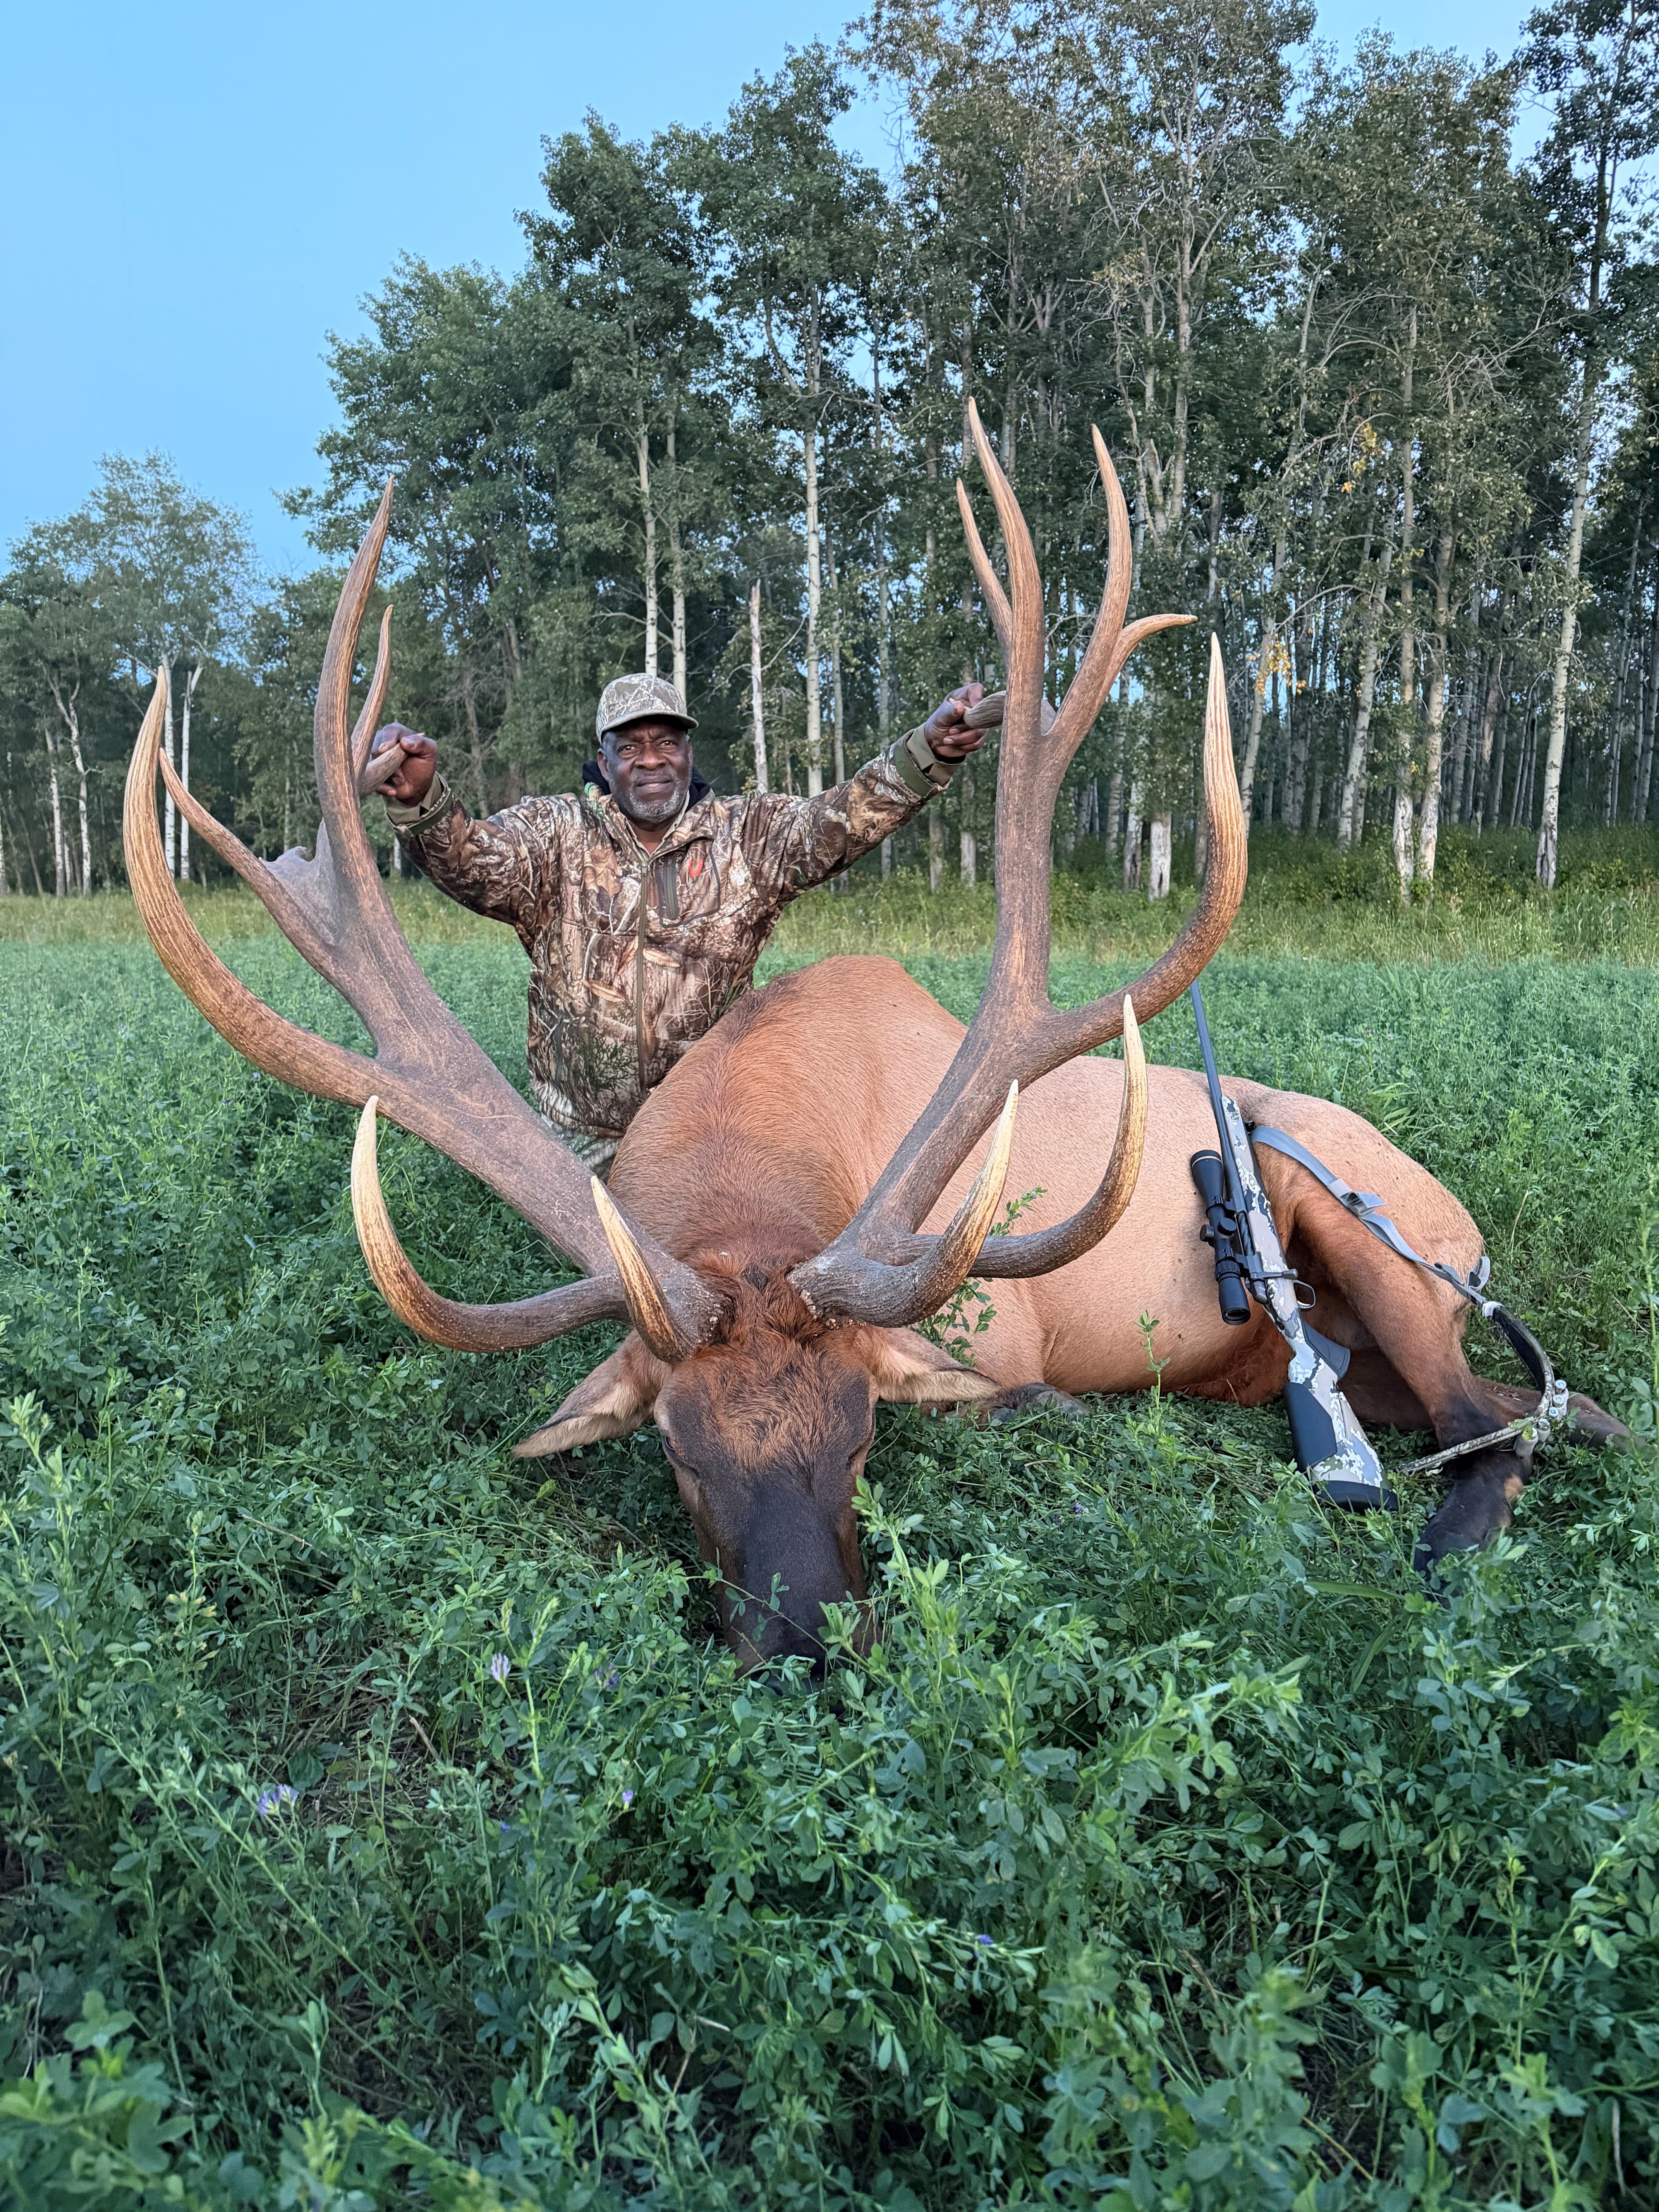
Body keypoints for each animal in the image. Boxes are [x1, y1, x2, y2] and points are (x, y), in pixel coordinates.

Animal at [125, 406, 1619, 1671]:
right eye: (674, 1454)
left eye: (859, 1441)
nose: (806, 1650)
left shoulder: (996, 1338)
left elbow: (1036, 1397)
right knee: (1539, 1408)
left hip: (1369, 1233)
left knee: (1498, 1423)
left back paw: (1432, 1560)